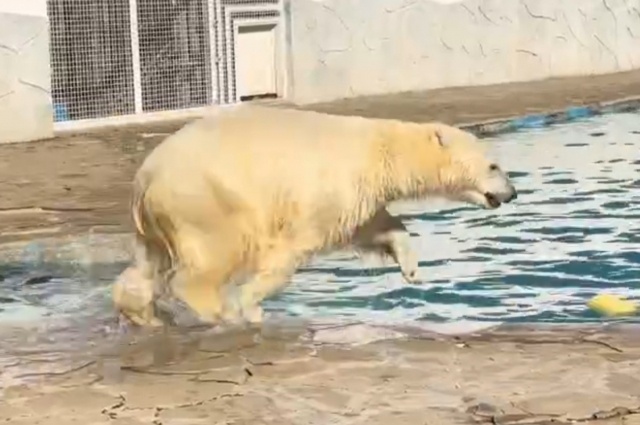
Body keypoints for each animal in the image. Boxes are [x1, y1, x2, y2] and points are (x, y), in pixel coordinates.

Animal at [112, 105, 516, 324]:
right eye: (494, 166)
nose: (512, 193)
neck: (379, 149)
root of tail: (144, 178)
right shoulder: (324, 191)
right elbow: (290, 250)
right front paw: (250, 307)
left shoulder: (356, 194)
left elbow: (371, 226)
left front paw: (411, 267)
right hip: (208, 201)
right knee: (209, 259)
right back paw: (217, 312)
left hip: (158, 220)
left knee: (147, 266)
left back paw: (142, 314)